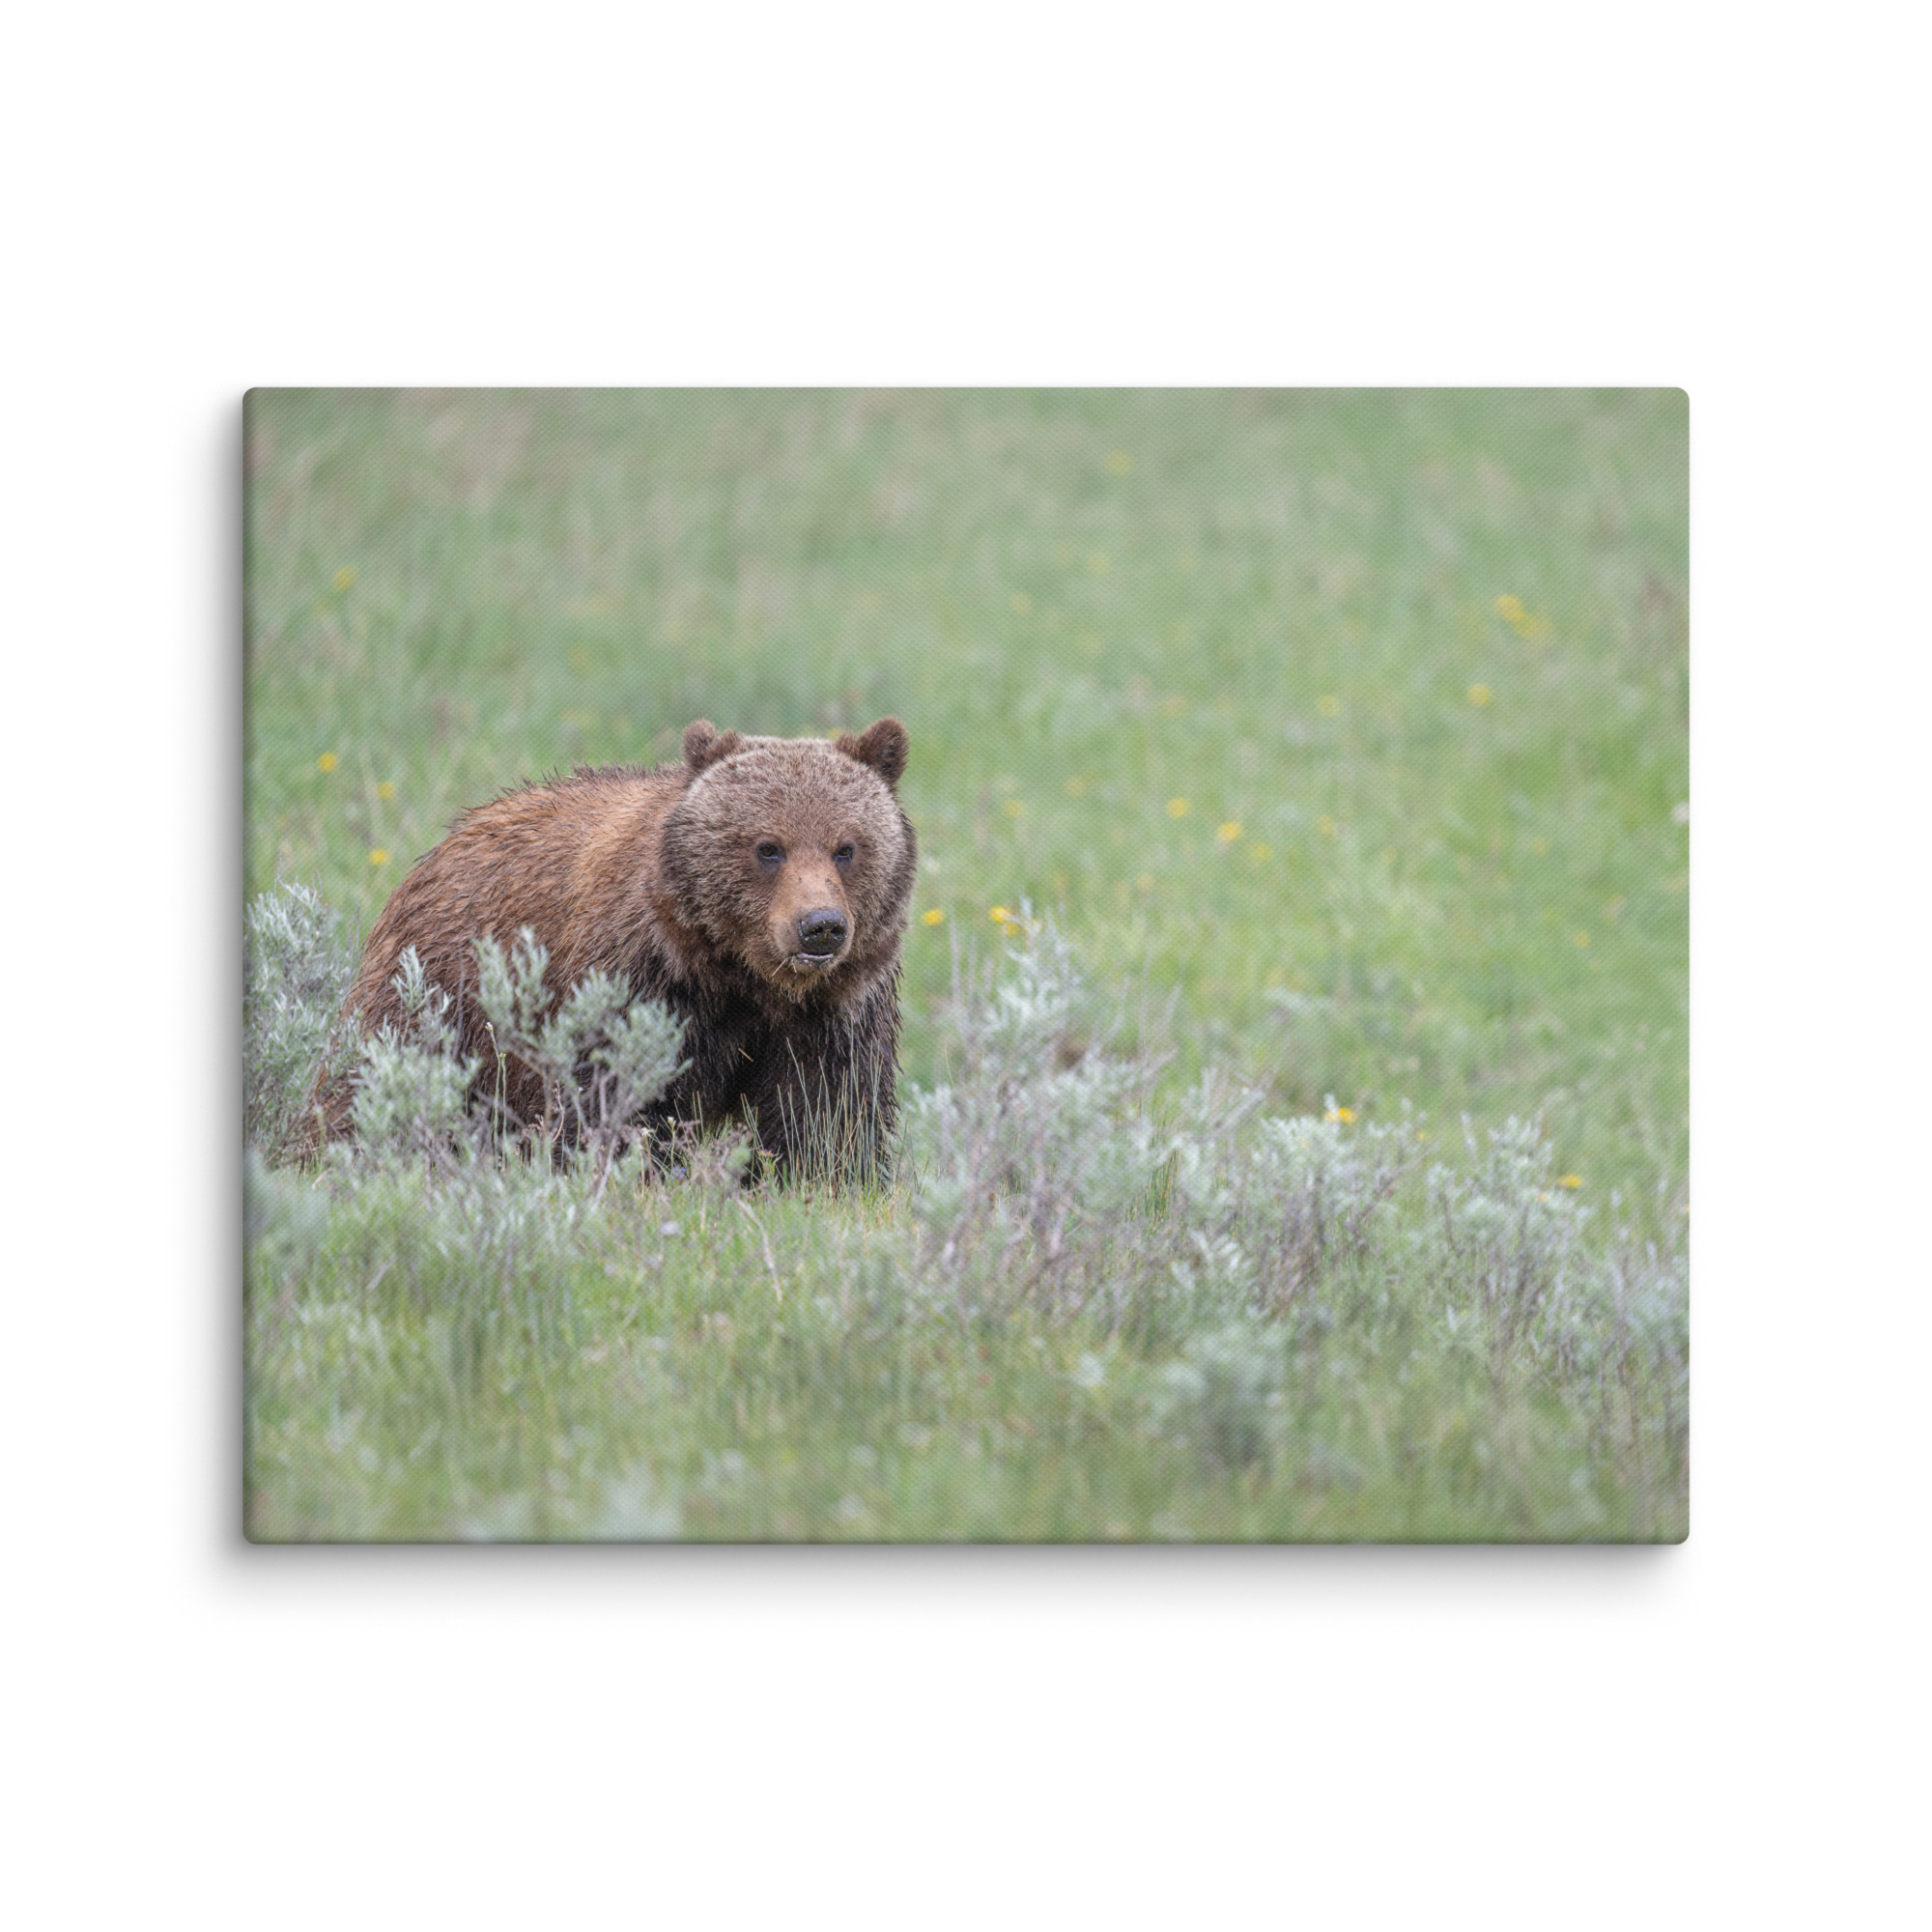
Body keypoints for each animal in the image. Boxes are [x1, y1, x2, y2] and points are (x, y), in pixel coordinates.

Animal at [314, 717, 916, 1180]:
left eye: (846, 847)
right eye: (768, 847)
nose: (820, 926)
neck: (742, 976)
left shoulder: (834, 1010)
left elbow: (825, 1113)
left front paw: (817, 1179)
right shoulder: (640, 982)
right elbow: (611, 1096)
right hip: (437, 993)